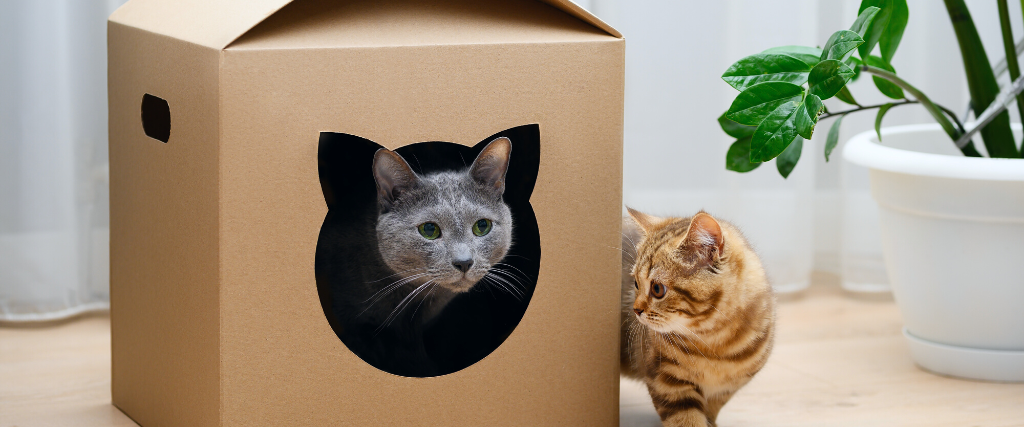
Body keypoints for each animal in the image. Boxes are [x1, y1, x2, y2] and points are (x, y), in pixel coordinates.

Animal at [614, 207, 774, 423]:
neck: (714, 344)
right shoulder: (667, 383)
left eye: (657, 289)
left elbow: (711, 411)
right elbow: (687, 420)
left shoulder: (726, 388)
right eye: (636, 284)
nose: (635, 310)